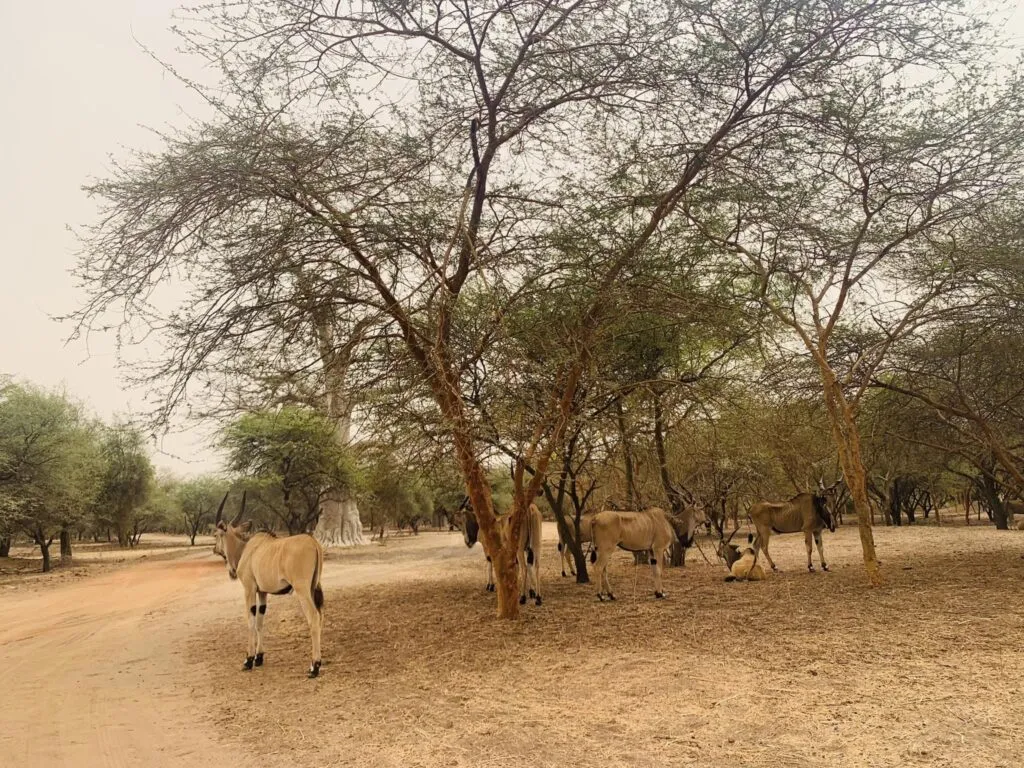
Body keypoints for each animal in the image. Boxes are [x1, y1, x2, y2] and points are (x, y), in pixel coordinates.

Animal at [206, 493, 319, 679]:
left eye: (216, 534)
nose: (215, 549)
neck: (246, 549)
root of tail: (313, 543)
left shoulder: (249, 589)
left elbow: (251, 621)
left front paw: (248, 660)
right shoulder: (263, 593)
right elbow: (260, 621)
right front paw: (259, 657)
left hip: (302, 590)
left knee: (314, 617)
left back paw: (314, 666)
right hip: (313, 588)